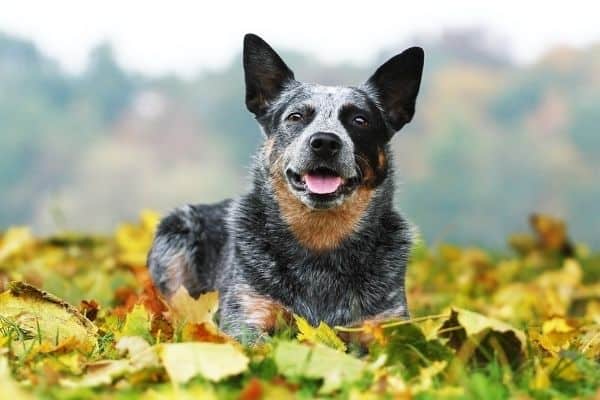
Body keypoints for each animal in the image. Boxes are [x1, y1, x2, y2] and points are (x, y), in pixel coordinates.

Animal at [148, 32, 424, 342]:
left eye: (360, 120)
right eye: (296, 116)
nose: (325, 142)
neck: (321, 243)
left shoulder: (387, 324)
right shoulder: (247, 316)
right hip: (175, 233)